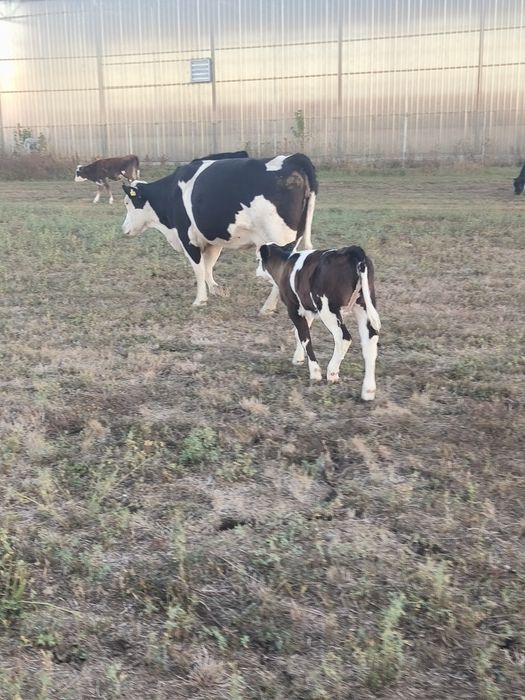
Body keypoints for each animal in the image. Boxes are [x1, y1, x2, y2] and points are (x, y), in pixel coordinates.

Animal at [121, 152, 317, 312]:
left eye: (127, 202)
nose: (123, 229)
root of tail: (293, 158)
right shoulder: (212, 240)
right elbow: (208, 266)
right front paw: (217, 290)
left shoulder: (188, 239)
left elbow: (199, 269)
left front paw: (200, 300)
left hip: (279, 238)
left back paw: (268, 307)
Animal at [256, 242, 381, 400]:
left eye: (258, 260)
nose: (256, 271)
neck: (286, 263)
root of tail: (352, 250)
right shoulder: (307, 309)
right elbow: (300, 333)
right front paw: (298, 358)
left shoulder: (293, 309)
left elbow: (305, 338)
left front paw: (315, 372)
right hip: (363, 306)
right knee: (370, 341)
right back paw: (368, 391)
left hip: (328, 310)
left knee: (343, 337)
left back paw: (332, 371)